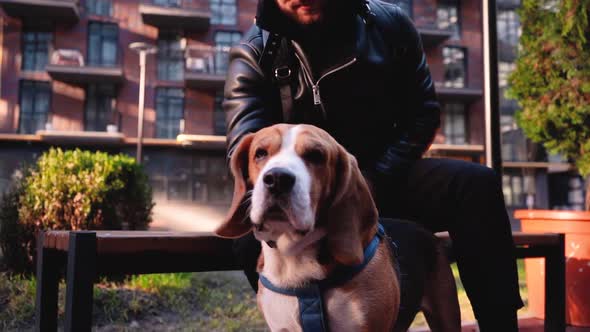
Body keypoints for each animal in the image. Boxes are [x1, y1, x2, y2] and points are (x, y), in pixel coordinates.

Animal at [216, 124, 462, 332]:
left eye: (316, 156)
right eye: (260, 153)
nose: (277, 179)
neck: (295, 259)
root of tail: (429, 234)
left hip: (445, 315)